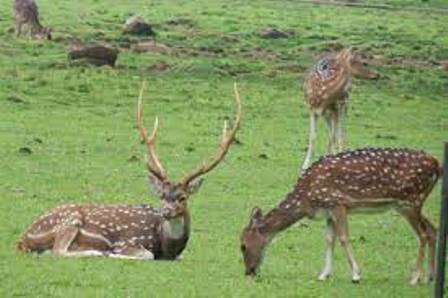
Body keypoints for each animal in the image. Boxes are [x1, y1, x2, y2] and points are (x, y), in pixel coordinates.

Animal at [18, 82, 242, 260]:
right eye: (162, 195)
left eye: (182, 197)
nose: (165, 211)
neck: (166, 247)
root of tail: (23, 238)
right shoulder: (129, 242)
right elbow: (146, 254)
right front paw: (113, 254)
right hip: (69, 219)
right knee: (58, 250)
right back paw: (97, 252)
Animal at [242, 148, 440, 284]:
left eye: (243, 245)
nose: (248, 272)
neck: (307, 199)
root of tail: (437, 164)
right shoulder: (329, 211)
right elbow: (330, 239)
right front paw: (324, 274)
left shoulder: (338, 203)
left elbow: (344, 237)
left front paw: (356, 275)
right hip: (410, 204)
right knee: (432, 229)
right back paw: (430, 276)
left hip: (410, 201)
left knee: (422, 234)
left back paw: (415, 278)